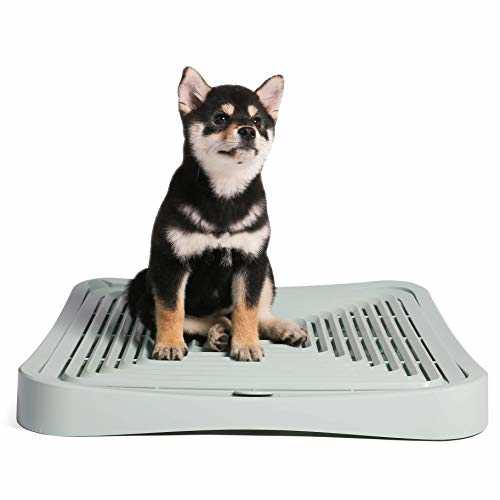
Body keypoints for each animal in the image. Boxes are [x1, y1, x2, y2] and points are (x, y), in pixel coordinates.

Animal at [127, 67, 308, 361]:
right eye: (220, 118)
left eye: (257, 120)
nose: (248, 131)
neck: (225, 193)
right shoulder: (170, 262)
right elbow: (171, 310)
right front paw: (169, 344)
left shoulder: (251, 261)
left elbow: (247, 309)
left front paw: (246, 344)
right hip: (141, 284)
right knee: (203, 319)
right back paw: (218, 332)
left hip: (266, 268)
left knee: (257, 313)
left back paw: (279, 328)